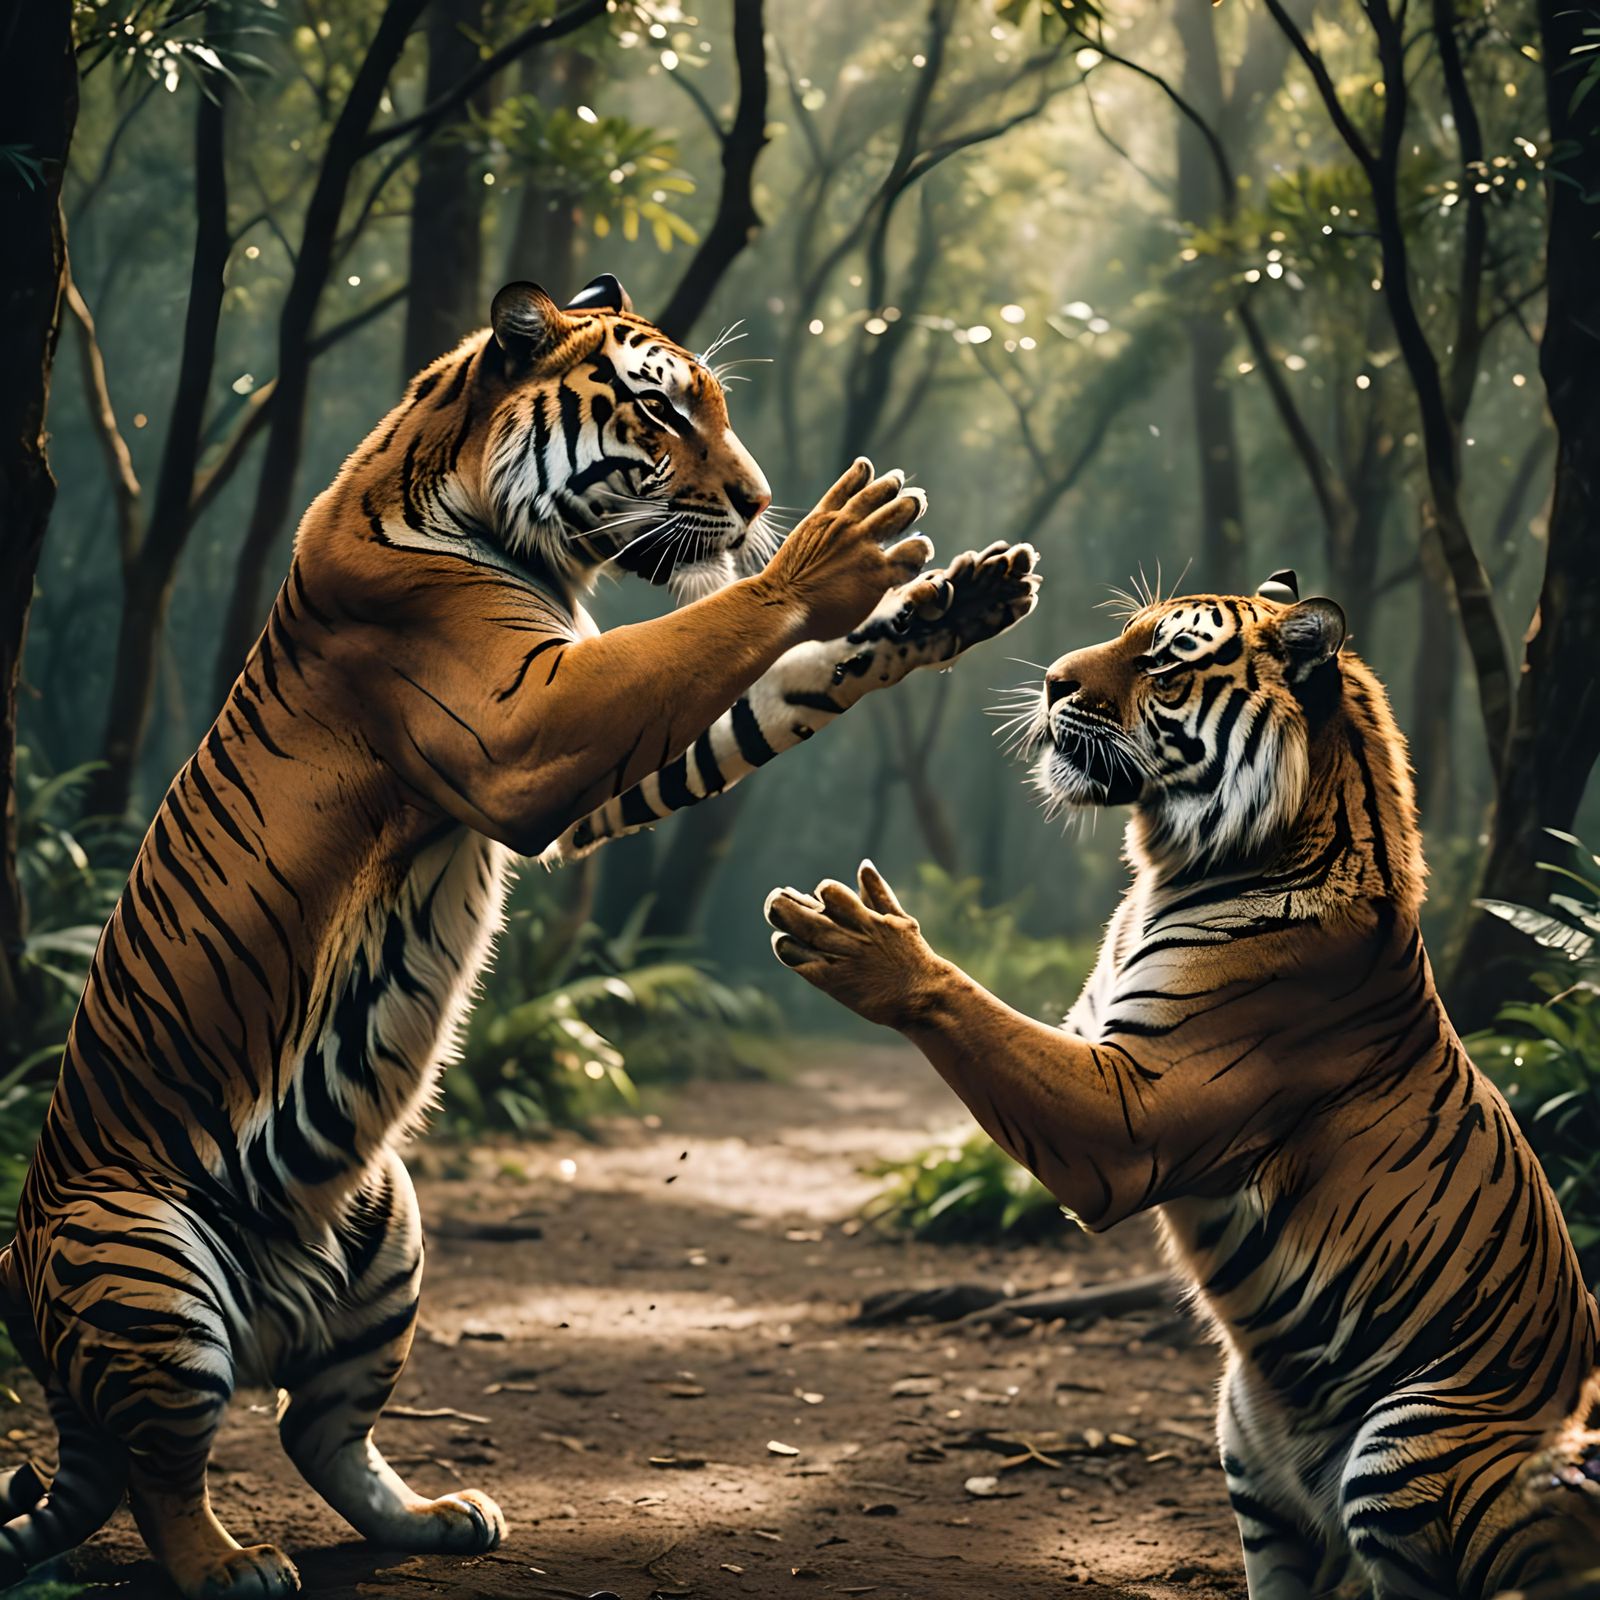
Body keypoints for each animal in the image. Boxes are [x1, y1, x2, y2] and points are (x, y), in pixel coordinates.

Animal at [0, 272, 1038, 1600]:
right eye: (664, 412)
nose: (757, 500)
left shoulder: (581, 773)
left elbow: (765, 691)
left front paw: (963, 598)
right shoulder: (523, 729)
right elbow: (717, 630)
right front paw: (836, 549)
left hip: (386, 1238)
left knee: (316, 1428)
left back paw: (438, 1516)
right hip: (147, 1267)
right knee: (160, 1465)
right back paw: (230, 1563)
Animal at [764, 570, 1600, 1599]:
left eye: (1164, 662)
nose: (1050, 681)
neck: (1171, 869)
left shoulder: (1131, 1118)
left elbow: (969, 1010)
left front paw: (867, 941)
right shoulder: (1082, 1042)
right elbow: (992, 1037)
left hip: (1404, 1451)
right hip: (1251, 1461)